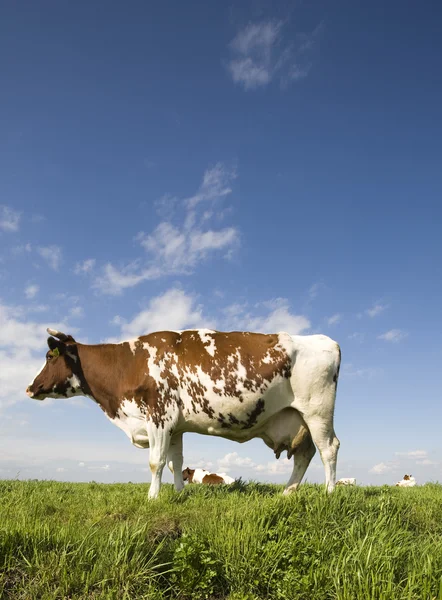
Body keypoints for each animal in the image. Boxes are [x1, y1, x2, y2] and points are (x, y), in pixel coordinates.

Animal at [26, 328, 342, 496]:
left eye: (49, 357)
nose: (30, 387)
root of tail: (325, 340)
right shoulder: (175, 425)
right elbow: (174, 462)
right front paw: (178, 492)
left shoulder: (158, 416)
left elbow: (155, 462)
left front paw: (152, 498)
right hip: (297, 419)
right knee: (305, 454)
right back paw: (286, 494)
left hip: (318, 411)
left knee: (328, 449)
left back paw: (328, 493)